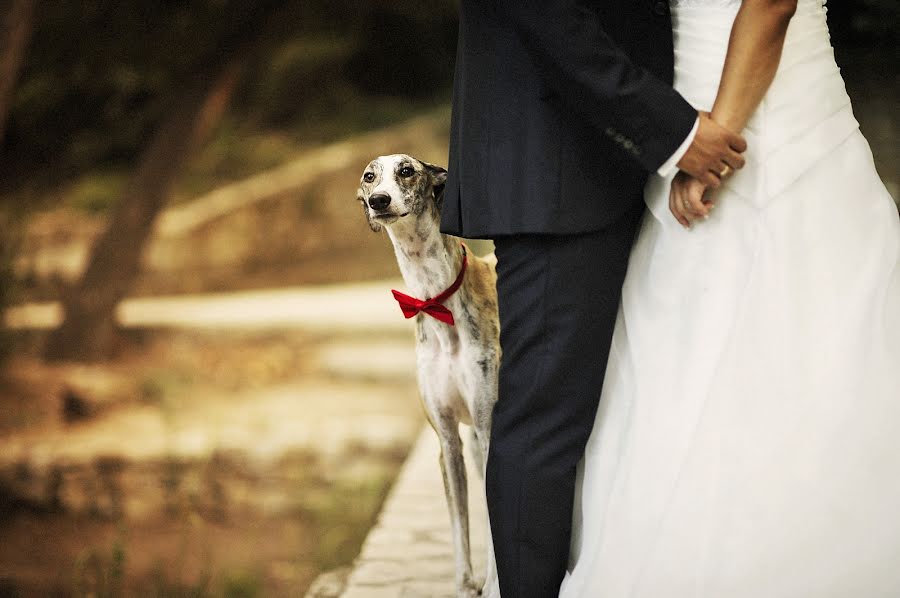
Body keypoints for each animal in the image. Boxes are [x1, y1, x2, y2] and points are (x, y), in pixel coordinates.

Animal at [356, 156, 500, 598]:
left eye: (406, 170)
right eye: (369, 177)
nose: (379, 201)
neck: (435, 300)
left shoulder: (489, 428)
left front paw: (493, 584)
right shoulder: (448, 441)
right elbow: (460, 526)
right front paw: (467, 585)